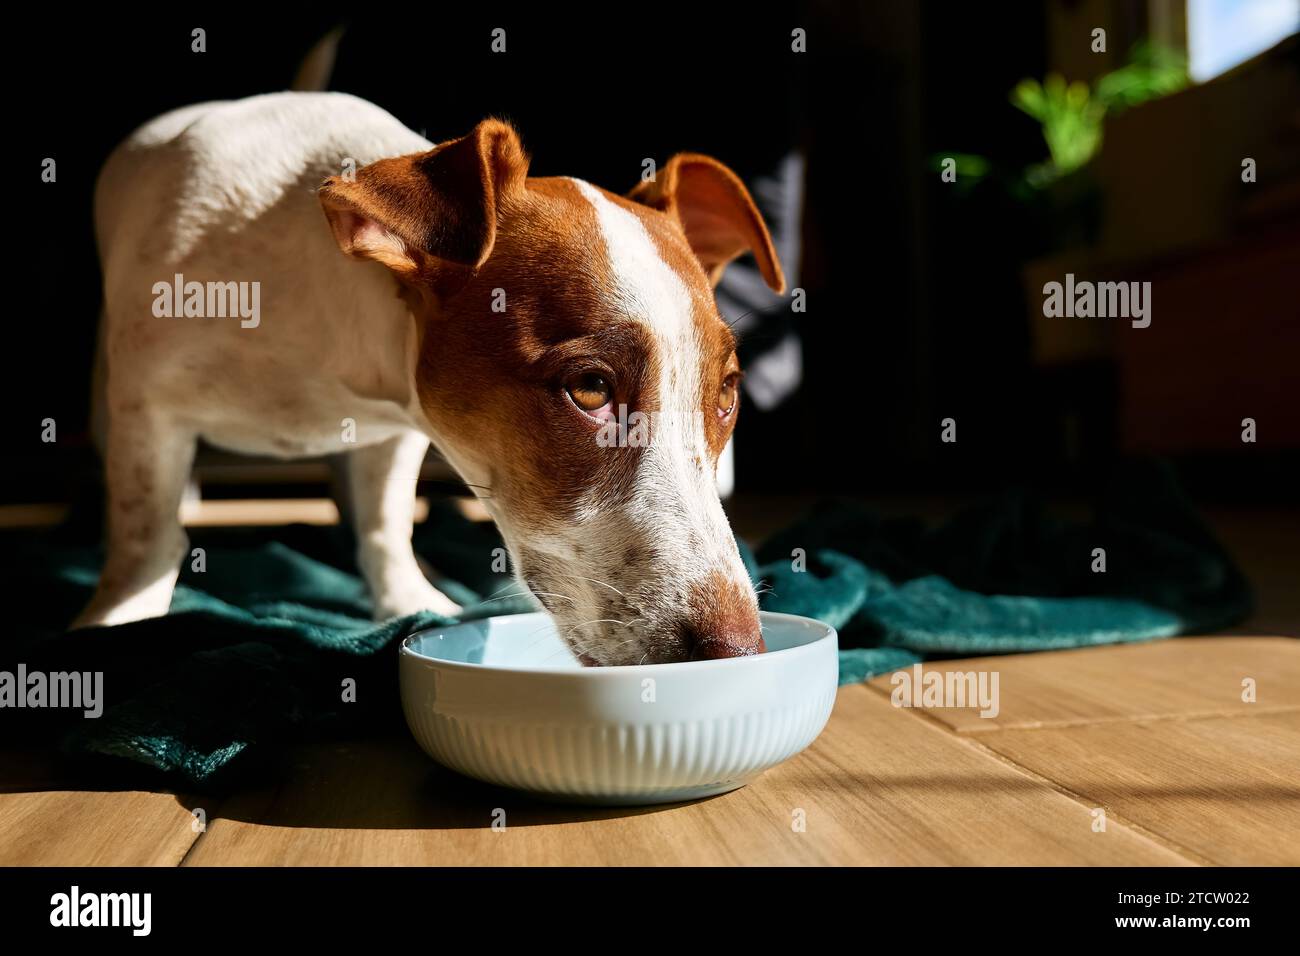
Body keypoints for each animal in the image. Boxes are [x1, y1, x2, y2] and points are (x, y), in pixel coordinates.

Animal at [83, 93, 790, 665]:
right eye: (590, 388)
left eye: (726, 393)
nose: (739, 651)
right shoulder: (146, 411)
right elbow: (148, 537)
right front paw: (118, 623)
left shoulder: (394, 431)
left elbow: (386, 523)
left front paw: (404, 600)